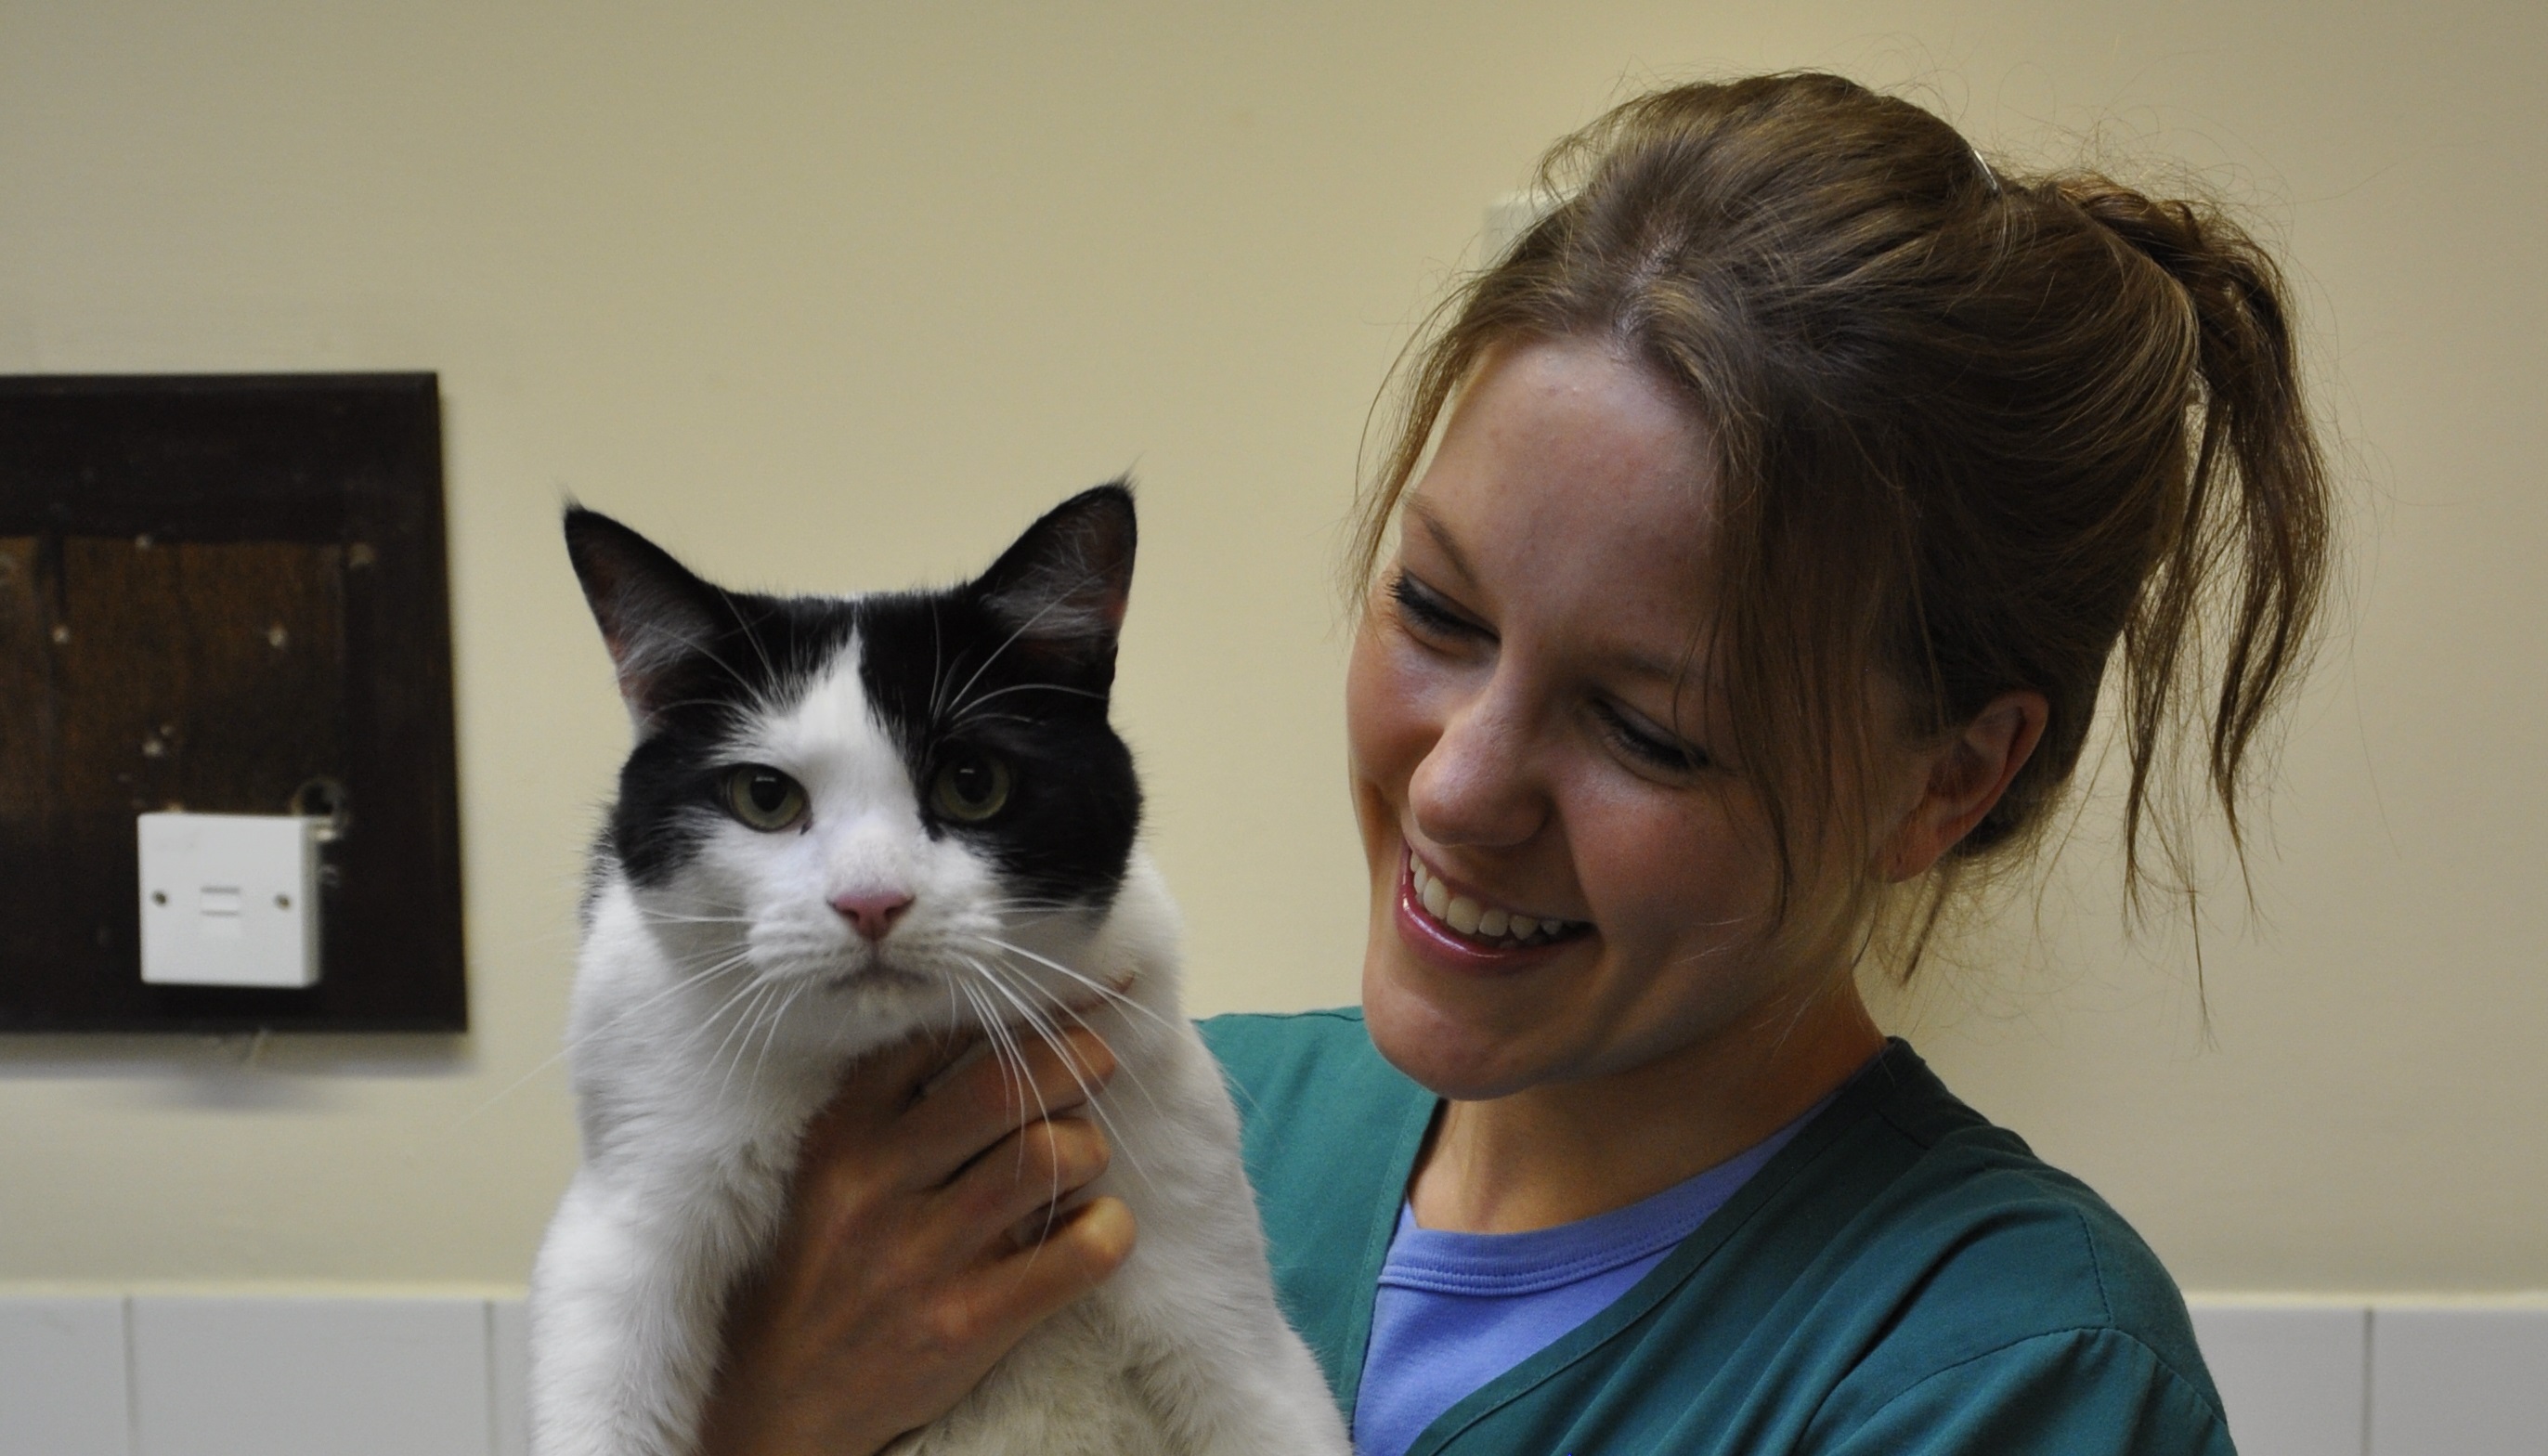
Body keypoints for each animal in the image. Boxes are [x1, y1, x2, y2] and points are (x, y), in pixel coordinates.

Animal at [527, 489, 1345, 1456]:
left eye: (972, 782)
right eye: (764, 797)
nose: (871, 901)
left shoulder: (1226, 1312)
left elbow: (1257, 1388)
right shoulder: (627, 1217)